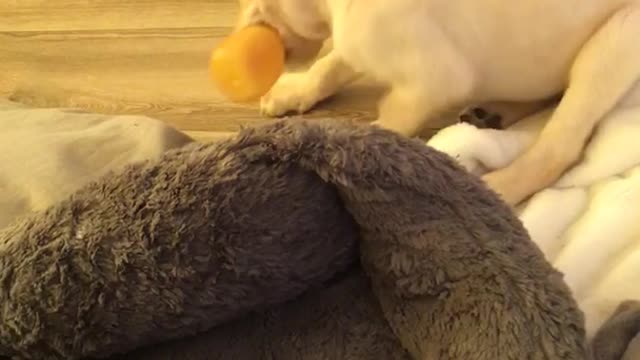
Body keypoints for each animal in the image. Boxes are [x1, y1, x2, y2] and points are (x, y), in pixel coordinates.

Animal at [234, 0, 640, 207]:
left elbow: (390, 123)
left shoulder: (431, 83)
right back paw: (495, 111)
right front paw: (293, 91)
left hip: (613, 44)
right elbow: (331, 65)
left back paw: (498, 189)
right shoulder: (363, 45)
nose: (242, 30)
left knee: (559, 146)